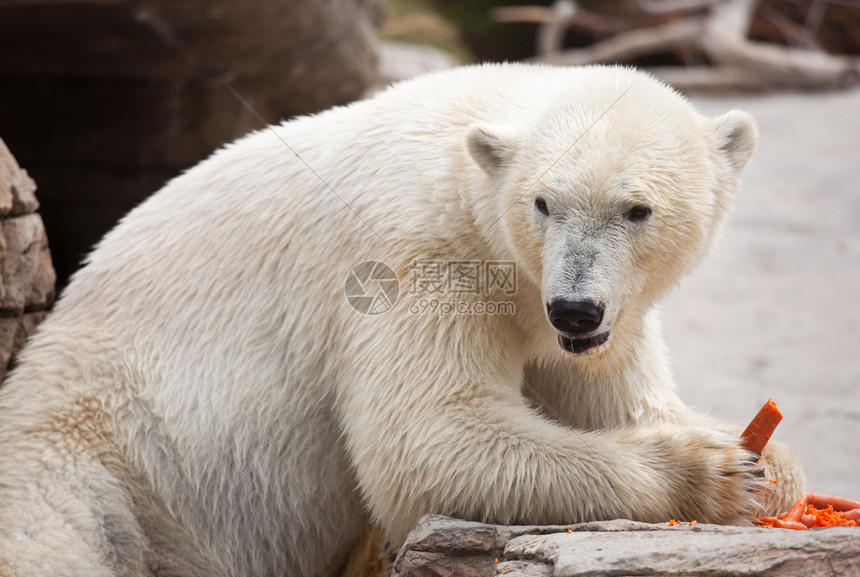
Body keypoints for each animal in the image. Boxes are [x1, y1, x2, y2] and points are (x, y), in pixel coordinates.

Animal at [0, 64, 808, 576]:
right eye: (544, 203)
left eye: (637, 209)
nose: (576, 307)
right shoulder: (412, 256)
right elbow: (429, 436)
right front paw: (715, 470)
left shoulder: (590, 319)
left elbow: (620, 398)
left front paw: (772, 464)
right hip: (102, 455)